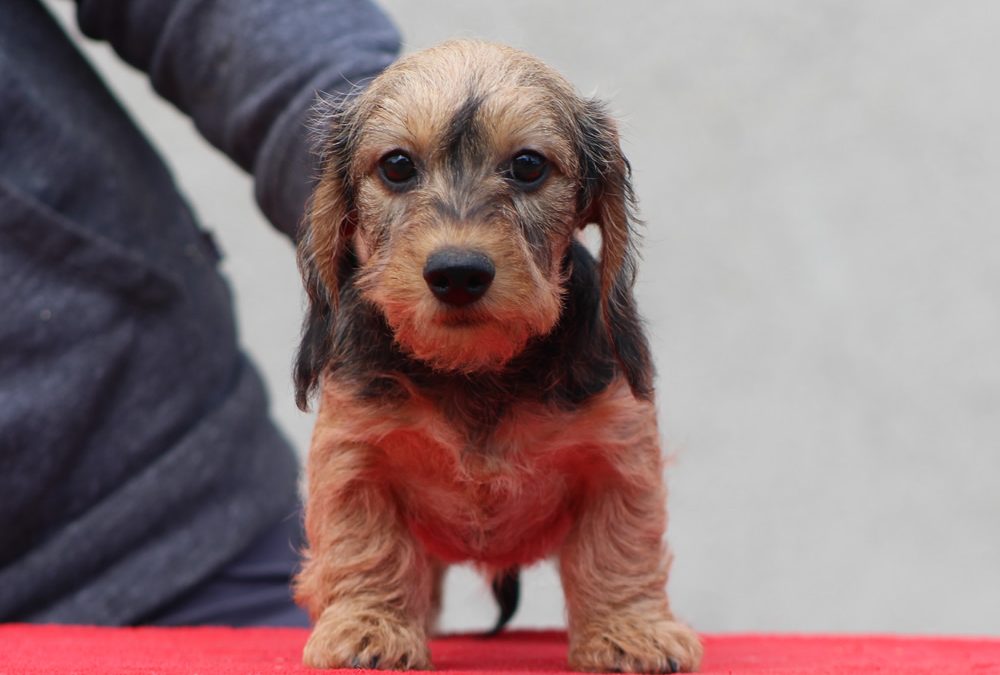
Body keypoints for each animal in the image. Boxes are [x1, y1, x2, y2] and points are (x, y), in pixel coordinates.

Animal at [292, 39, 700, 672]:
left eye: (529, 165)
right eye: (397, 165)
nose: (458, 273)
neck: (475, 371)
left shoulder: (618, 457)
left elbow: (618, 548)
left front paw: (630, 630)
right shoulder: (355, 455)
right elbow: (367, 544)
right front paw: (369, 627)